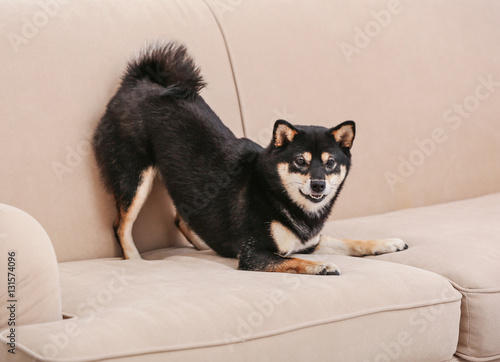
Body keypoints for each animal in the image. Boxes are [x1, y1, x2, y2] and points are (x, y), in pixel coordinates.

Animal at [93, 41, 406, 274]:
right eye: (300, 162)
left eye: (330, 163)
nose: (318, 184)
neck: (277, 193)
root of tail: (139, 82)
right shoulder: (255, 254)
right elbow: (294, 260)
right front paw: (322, 266)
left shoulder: (309, 243)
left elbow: (345, 241)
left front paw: (385, 243)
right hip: (134, 177)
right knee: (121, 226)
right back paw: (135, 260)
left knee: (183, 220)